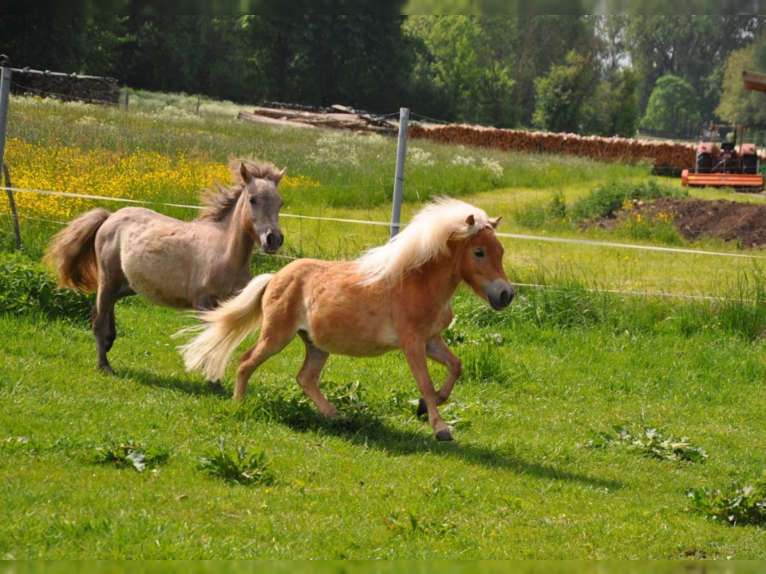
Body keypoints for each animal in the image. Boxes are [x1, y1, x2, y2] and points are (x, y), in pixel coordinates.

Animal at [46, 159, 286, 374]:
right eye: (253, 199)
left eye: (280, 203)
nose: (273, 239)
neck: (224, 251)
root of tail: (110, 216)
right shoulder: (204, 302)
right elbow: (209, 339)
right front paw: (212, 382)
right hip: (109, 278)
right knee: (99, 318)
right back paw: (104, 365)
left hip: (126, 285)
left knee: (102, 308)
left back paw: (109, 341)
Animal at [179, 198, 514, 441]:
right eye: (479, 252)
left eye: (501, 250)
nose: (505, 295)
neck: (419, 282)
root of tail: (275, 277)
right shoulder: (413, 344)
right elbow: (426, 383)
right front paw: (441, 429)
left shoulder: (431, 340)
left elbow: (455, 367)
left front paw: (423, 409)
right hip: (276, 336)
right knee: (246, 362)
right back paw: (239, 404)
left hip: (315, 344)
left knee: (305, 378)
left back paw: (336, 416)